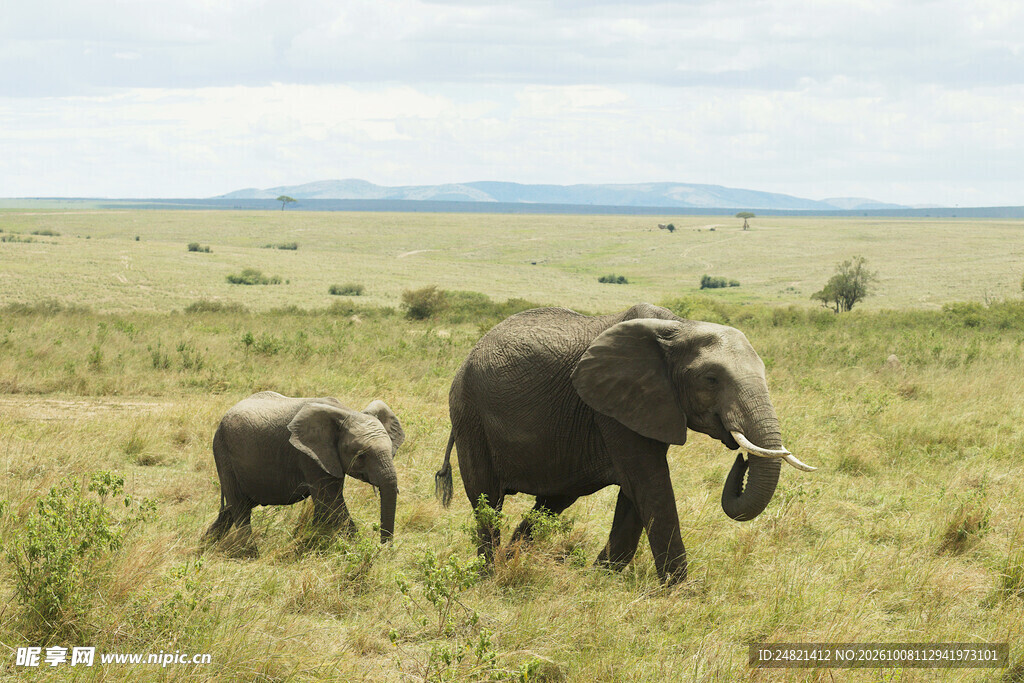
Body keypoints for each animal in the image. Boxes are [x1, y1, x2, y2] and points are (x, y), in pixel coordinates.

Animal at [203, 391, 405, 552]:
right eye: (361, 455)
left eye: (391, 450)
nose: (385, 550)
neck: (346, 412)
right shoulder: (309, 455)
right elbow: (330, 503)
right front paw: (359, 548)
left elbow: (326, 506)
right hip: (223, 453)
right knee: (240, 508)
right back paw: (251, 555)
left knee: (231, 509)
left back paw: (204, 547)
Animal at [434, 303, 813, 584]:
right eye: (711, 379)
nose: (743, 458)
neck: (680, 326)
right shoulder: (613, 407)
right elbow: (651, 484)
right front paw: (681, 593)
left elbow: (637, 493)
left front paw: (601, 578)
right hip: (470, 416)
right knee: (487, 499)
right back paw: (490, 573)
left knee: (552, 502)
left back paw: (512, 559)